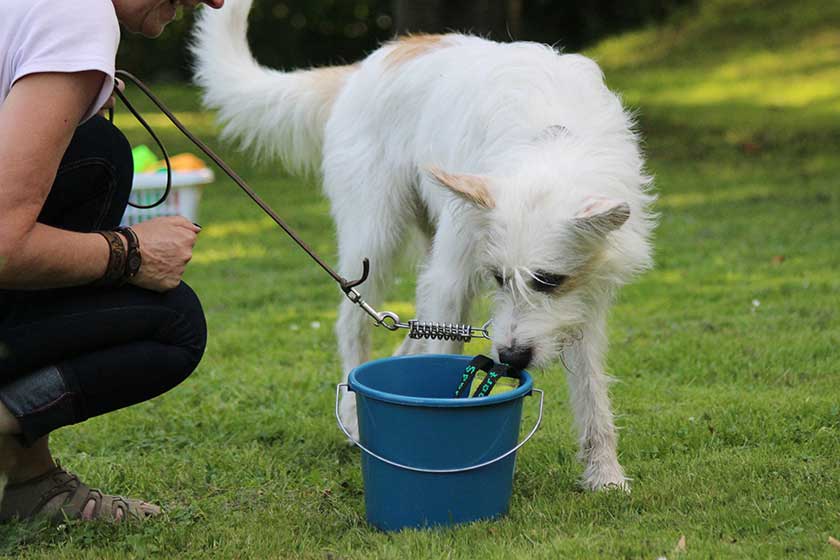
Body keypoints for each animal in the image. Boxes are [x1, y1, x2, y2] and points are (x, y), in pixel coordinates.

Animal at [192, 0, 656, 491]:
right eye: (498, 278)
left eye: (548, 281)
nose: (510, 357)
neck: (551, 141)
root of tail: (368, 64)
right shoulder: (454, 274)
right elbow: (440, 356)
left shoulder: (582, 299)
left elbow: (590, 387)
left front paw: (604, 473)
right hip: (373, 240)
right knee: (353, 326)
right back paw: (353, 415)